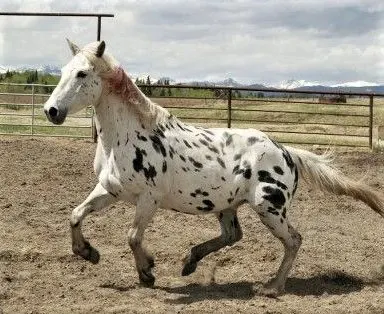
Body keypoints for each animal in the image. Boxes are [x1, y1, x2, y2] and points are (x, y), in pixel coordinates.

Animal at [43, 40, 382, 298]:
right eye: (63, 71)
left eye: (82, 73)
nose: (51, 111)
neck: (126, 137)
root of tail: (286, 151)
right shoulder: (110, 189)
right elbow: (75, 215)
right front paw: (88, 253)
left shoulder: (149, 199)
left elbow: (133, 237)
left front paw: (147, 273)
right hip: (227, 204)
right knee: (233, 234)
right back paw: (190, 261)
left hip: (268, 206)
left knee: (293, 240)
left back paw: (272, 287)